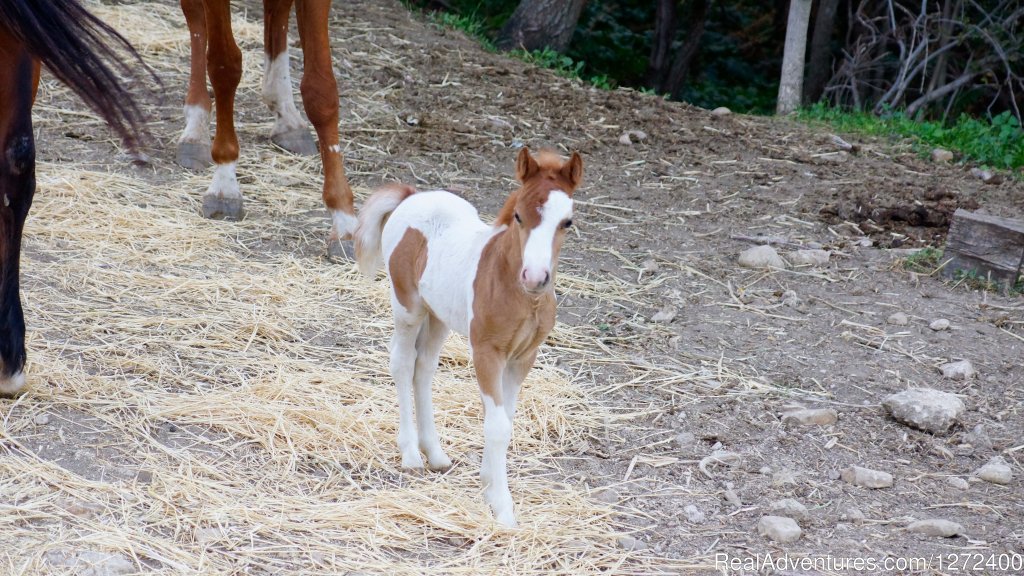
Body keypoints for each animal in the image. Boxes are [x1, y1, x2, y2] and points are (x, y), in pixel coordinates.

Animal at [174, 0, 354, 243]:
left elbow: (320, 91)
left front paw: (344, 219)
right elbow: (224, 66)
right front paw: (224, 184)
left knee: (277, 10)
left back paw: (287, 118)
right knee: (194, 14)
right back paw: (195, 126)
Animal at [358, 147, 585, 524]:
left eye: (567, 222)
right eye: (519, 215)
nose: (535, 276)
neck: (518, 292)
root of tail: (412, 195)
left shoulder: (523, 358)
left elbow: (505, 421)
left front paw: (489, 485)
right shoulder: (487, 352)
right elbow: (497, 426)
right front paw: (503, 508)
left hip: (439, 316)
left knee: (424, 368)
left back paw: (435, 454)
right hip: (408, 307)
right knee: (402, 362)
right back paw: (411, 456)